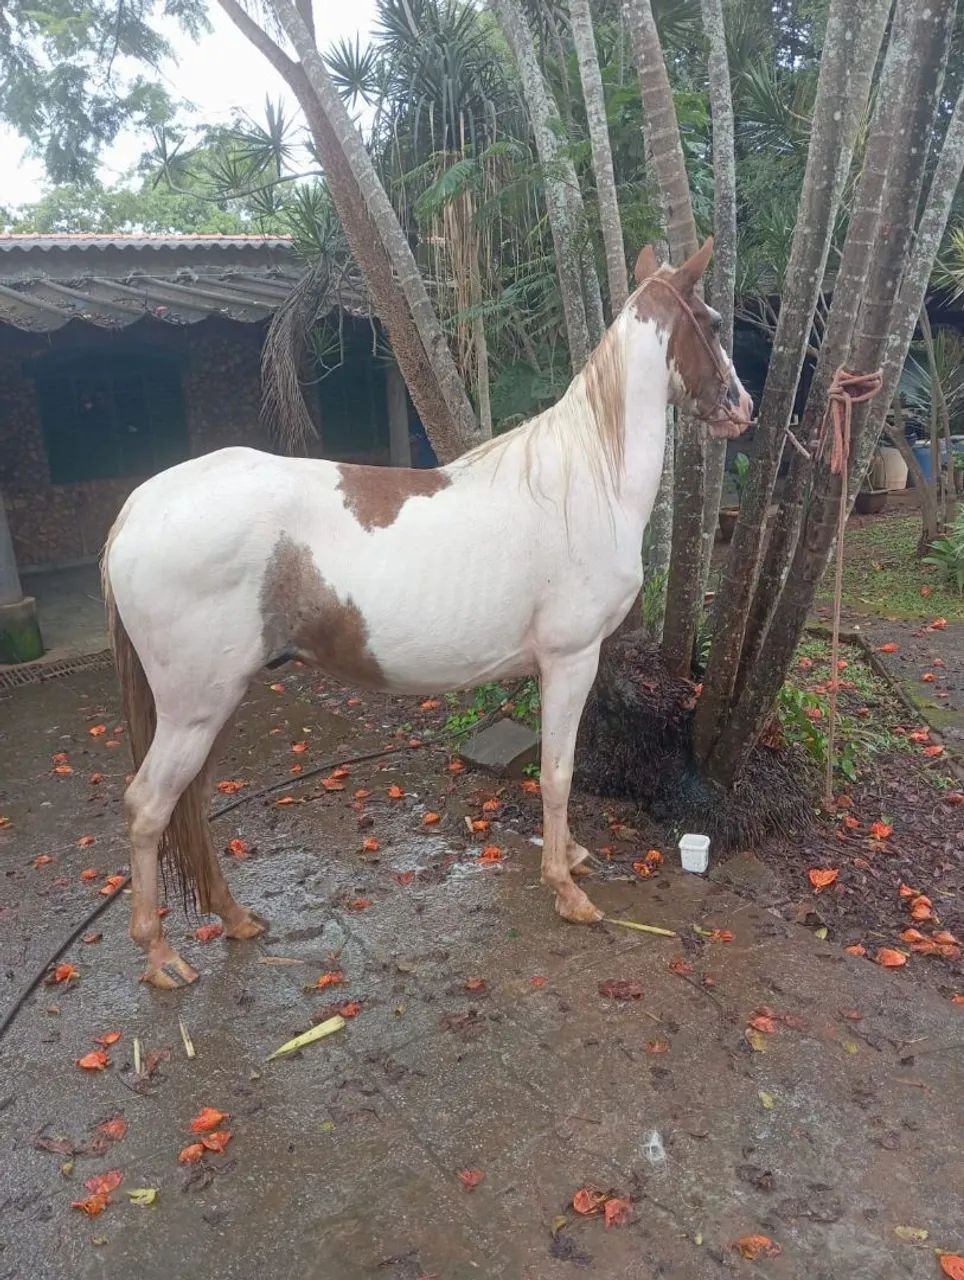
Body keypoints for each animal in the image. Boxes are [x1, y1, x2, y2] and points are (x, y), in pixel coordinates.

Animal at [102, 238, 752, 988]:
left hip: (215, 703)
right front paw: (567, 889)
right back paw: (160, 955)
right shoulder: (571, 659)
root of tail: (139, 507)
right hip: (195, 710)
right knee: (149, 807)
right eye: (711, 321)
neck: (585, 481)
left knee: (192, 803)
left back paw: (234, 918)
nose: (744, 407)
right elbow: (558, 773)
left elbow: (556, 768)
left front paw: (571, 859)